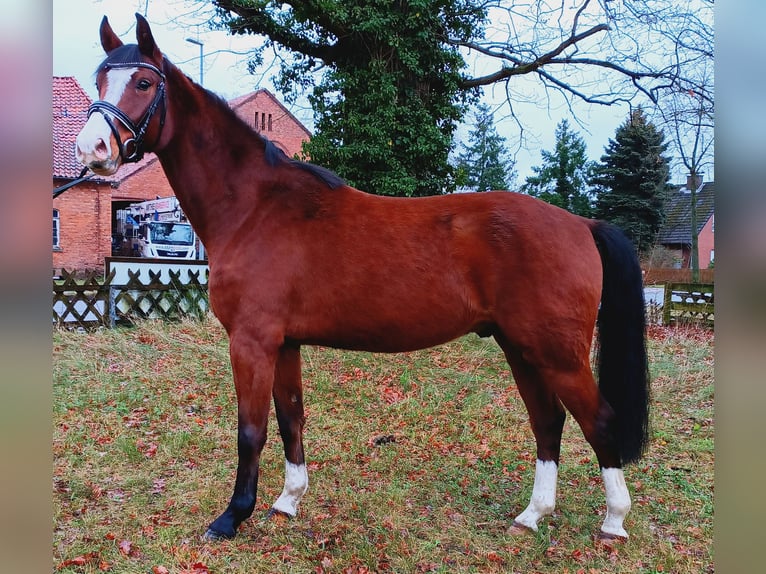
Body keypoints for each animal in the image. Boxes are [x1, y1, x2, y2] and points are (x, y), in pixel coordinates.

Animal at [75, 13, 652, 544]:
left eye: (143, 82)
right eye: (100, 79)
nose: (92, 150)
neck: (255, 208)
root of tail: (581, 224)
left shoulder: (252, 341)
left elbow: (250, 429)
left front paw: (232, 517)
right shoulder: (284, 343)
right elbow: (290, 418)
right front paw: (288, 501)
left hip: (557, 354)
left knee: (598, 421)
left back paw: (614, 523)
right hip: (520, 347)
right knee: (548, 421)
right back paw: (533, 515)